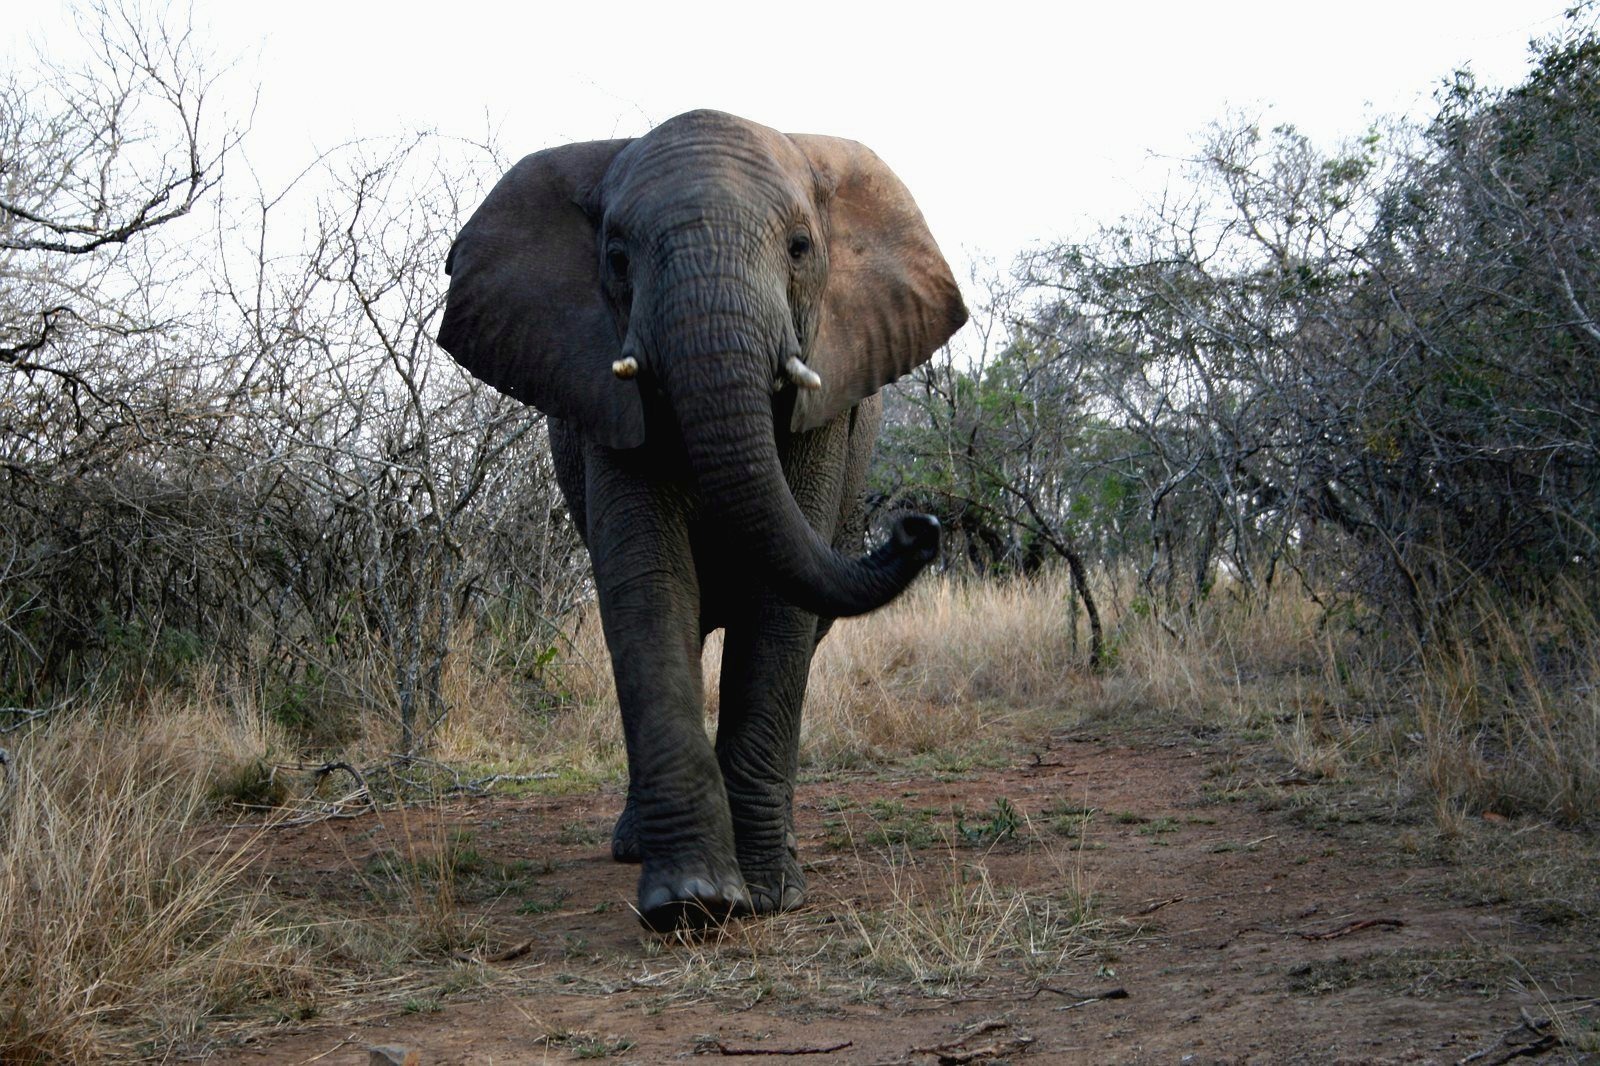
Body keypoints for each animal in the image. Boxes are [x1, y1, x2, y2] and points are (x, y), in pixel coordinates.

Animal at [436, 109, 966, 930]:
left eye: (799, 248)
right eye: (618, 258)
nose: (920, 527)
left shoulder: (826, 404)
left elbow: (778, 608)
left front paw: (768, 897)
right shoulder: (603, 394)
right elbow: (648, 586)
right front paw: (692, 903)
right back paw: (636, 848)